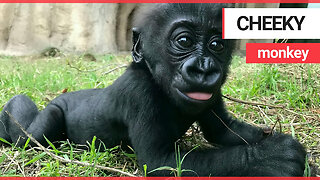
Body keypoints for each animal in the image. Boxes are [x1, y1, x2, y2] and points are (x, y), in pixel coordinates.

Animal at [0, 3, 304, 176]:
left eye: (217, 45)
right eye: (184, 41)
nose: (204, 68)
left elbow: (223, 130)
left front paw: (273, 144)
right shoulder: (139, 93)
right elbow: (162, 162)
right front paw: (273, 159)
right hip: (53, 111)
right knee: (30, 136)